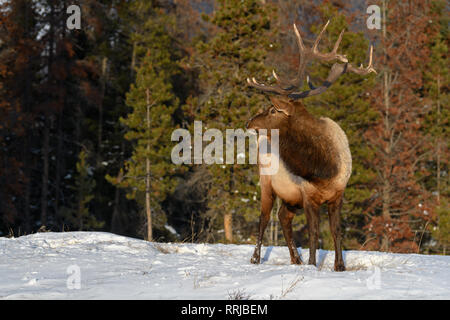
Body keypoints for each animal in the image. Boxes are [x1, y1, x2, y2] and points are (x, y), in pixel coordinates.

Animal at [244, 20, 374, 270]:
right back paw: (255, 258)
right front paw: (313, 264)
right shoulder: (307, 195)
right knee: (264, 216)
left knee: (283, 216)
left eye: (273, 110)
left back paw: (295, 258)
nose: (249, 122)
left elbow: (336, 231)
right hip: (266, 180)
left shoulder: (338, 194)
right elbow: (314, 232)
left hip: (290, 197)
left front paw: (339, 266)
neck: (324, 170)